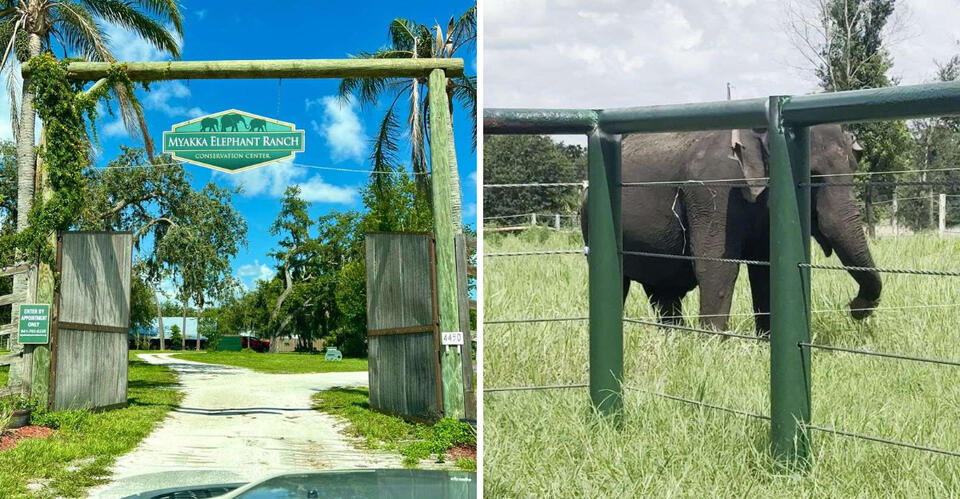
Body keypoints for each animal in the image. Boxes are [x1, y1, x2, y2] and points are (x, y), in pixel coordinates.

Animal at [581, 125, 881, 334]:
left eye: (854, 170)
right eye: (812, 176)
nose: (855, 307)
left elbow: (766, 269)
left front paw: (765, 341)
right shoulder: (714, 190)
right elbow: (717, 265)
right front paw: (712, 345)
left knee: (664, 291)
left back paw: (672, 338)